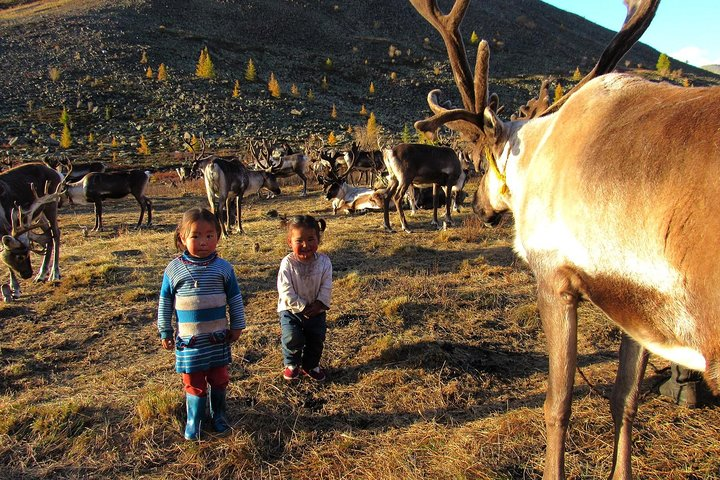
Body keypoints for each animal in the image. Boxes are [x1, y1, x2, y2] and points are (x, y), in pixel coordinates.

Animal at [0, 163, 64, 300]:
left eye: (28, 253)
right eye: (20, 256)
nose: (28, 274)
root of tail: (56, 172)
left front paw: (15, 289)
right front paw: (14, 288)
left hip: (51, 202)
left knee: (56, 233)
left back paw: (54, 273)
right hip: (39, 212)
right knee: (48, 235)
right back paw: (41, 274)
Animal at [408, 0, 720, 478]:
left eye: (479, 160)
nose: (477, 207)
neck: (536, 154)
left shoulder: (555, 278)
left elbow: (557, 405)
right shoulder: (636, 305)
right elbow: (625, 399)